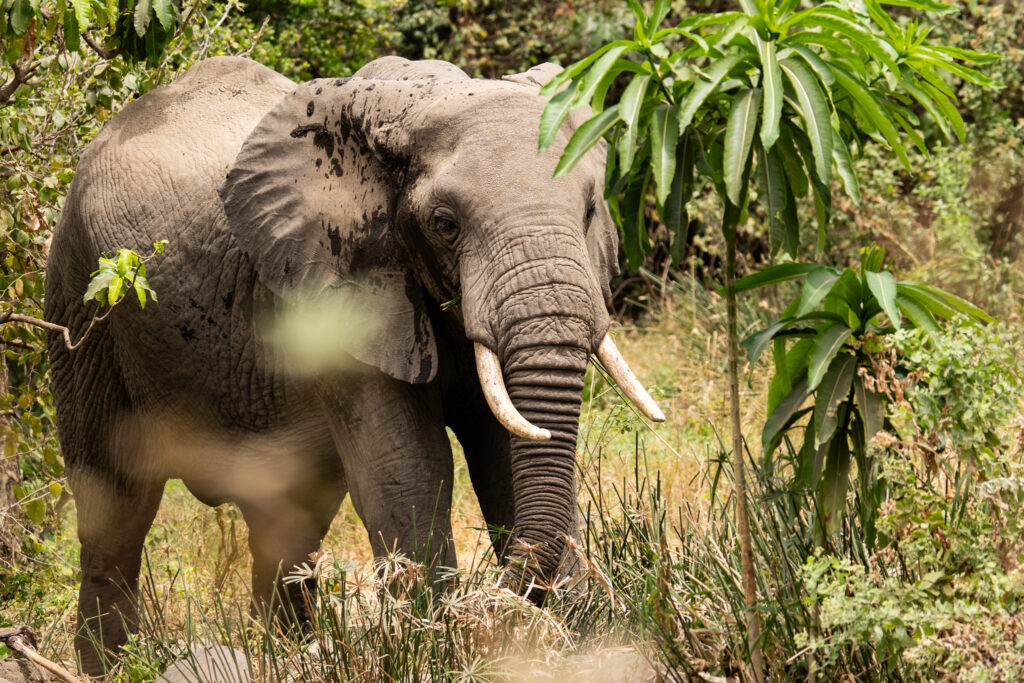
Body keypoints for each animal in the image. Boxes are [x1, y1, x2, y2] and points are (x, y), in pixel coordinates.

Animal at [44, 55, 664, 674]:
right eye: (445, 224)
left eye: (590, 210)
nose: (501, 603)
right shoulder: (341, 284)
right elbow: (407, 470)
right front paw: (440, 651)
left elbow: (503, 458)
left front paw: (571, 638)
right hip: (80, 299)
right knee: (114, 505)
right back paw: (111, 670)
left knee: (289, 520)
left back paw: (286, 657)